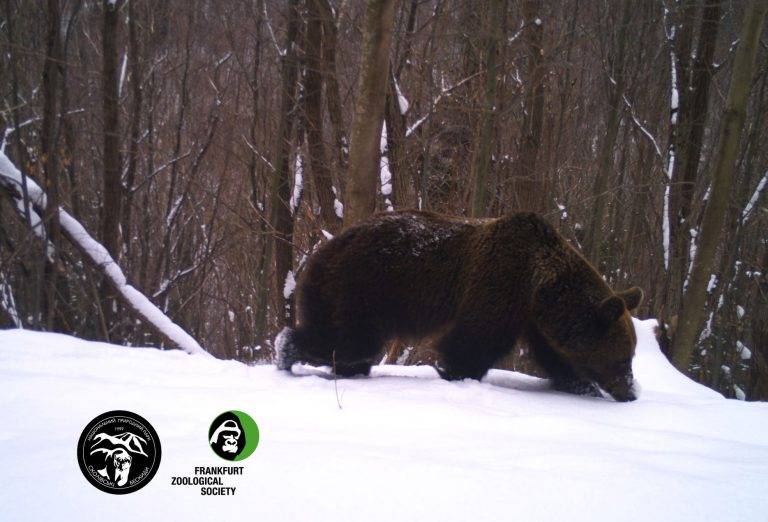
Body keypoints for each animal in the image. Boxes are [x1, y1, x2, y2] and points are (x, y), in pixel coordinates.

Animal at [276, 209, 640, 400]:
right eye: (623, 357)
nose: (630, 392)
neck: (540, 285)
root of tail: (323, 249)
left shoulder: (535, 321)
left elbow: (555, 357)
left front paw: (582, 386)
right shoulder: (500, 284)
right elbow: (472, 341)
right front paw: (456, 373)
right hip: (360, 288)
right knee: (349, 341)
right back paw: (287, 351)